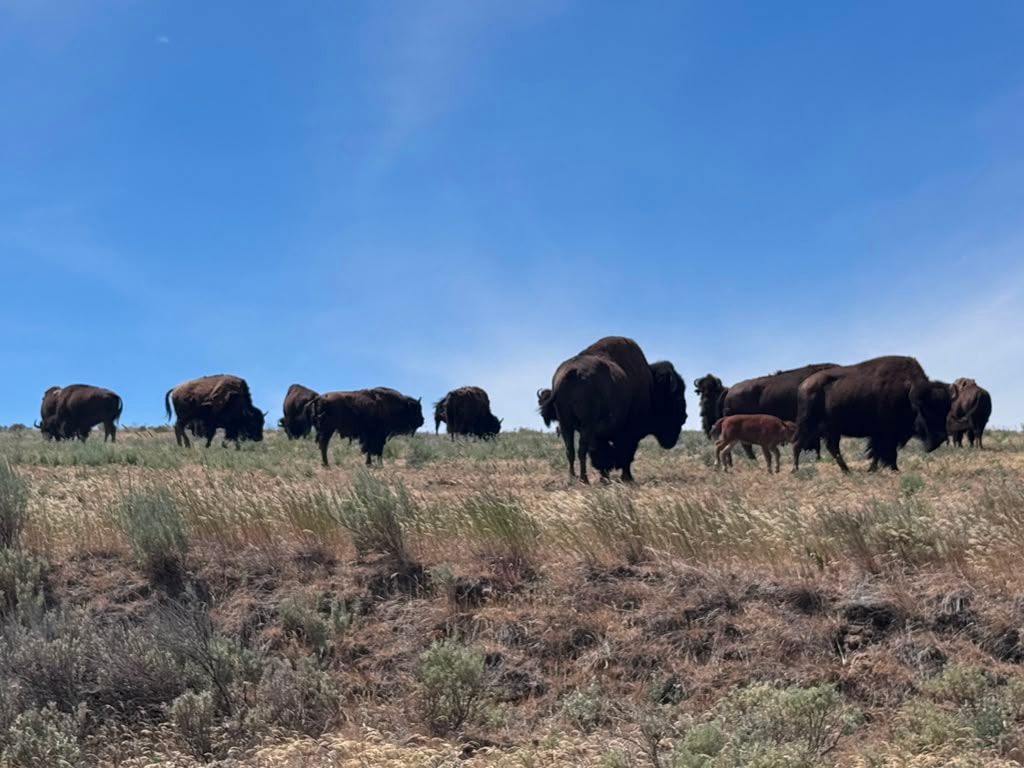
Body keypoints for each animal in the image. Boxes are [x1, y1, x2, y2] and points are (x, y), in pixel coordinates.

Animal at [539, 336, 687, 483]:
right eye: (678, 396)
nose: (684, 417)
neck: (651, 386)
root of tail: (571, 373)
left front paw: (606, 478)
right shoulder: (628, 433)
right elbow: (625, 454)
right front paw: (627, 477)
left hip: (566, 424)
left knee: (570, 450)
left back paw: (572, 478)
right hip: (586, 424)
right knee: (581, 450)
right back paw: (584, 480)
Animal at [793, 356, 950, 472]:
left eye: (945, 409)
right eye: (926, 409)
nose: (940, 438)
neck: (907, 391)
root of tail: (803, 386)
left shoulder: (884, 435)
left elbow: (879, 453)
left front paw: (877, 469)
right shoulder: (885, 433)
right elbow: (884, 451)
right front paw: (892, 469)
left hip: (831, 430)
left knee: (832, 448)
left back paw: (846, 471)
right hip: (808, 425)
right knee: (798, 443)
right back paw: (795, 470)